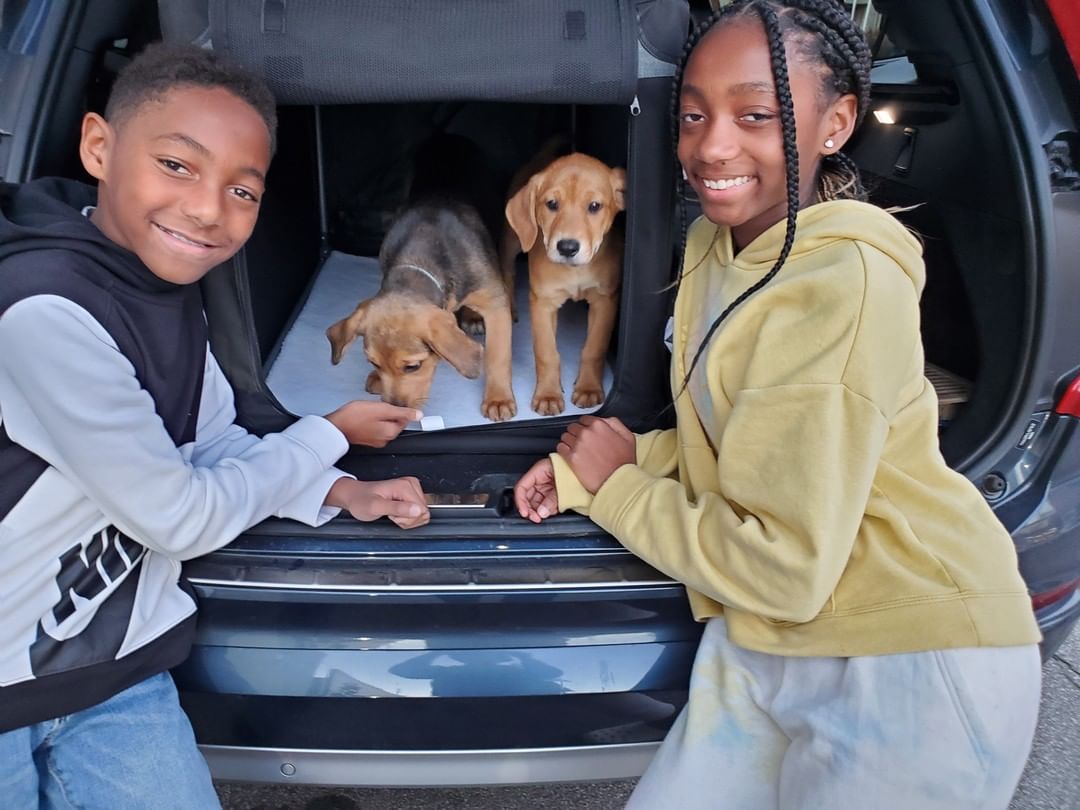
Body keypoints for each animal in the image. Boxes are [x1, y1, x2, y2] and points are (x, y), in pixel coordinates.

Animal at [326, 135, 516, 421]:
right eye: (373, 362)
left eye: (413, 366)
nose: (395, 410)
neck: (419, 263)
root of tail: (447, 137)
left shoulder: (494, 302)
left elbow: (497, 355)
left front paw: (498, 399)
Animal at [503, 153, 626, 419]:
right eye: (551, 204)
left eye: (594, 206)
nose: (567, 247)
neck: (575, 271)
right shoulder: (542, 302)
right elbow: (547, 353)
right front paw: (548, 395)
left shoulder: (605, 300)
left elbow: (594, 348)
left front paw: (588, 389)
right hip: (513, 240)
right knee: (507, 269)